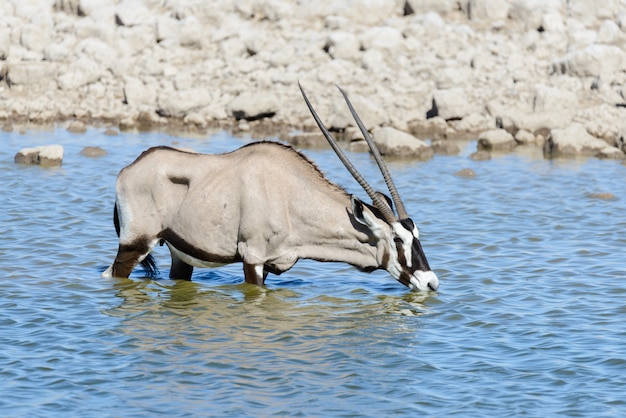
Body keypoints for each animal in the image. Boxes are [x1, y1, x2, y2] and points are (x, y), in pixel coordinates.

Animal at [102, 81, 436, 290]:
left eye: (417, 235)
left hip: (180, 257)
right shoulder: (253, 259)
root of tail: (128, 169)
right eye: (397, 240)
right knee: (112, 274)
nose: (431, 282)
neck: (291, 196)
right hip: (135, 244)